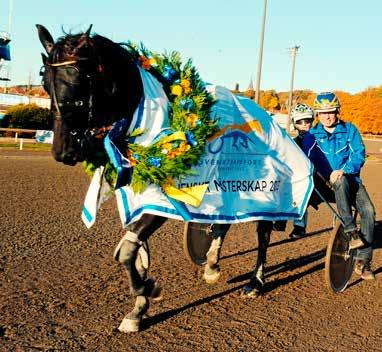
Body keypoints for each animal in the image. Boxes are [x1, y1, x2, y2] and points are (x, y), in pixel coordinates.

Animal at [36, 24, 274, 332]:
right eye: (45, 84)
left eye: (78, 86)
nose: (61, 151)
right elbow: (134, 251)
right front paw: (138, 309)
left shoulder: (165, 200)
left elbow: (126, 251)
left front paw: (148, 289)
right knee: (222, 226)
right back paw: (211, 267)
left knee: (263, 232)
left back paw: (255, 282)